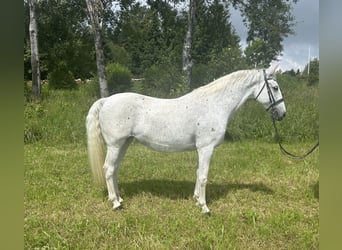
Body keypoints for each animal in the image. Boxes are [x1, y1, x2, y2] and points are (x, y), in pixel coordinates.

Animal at [85, 64, 286, 213]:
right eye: (275, 88)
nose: (282, 114)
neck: (215, 104)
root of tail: (106, 100)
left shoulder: (201, 149)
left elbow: (198, 173)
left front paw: (196, 199)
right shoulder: (206, 148)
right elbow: (203, 176)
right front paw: (204, 207)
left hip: (124, 144)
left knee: (115, 170)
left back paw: (119, 198)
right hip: (115, 145)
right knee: (108, 169)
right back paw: (115, 203)